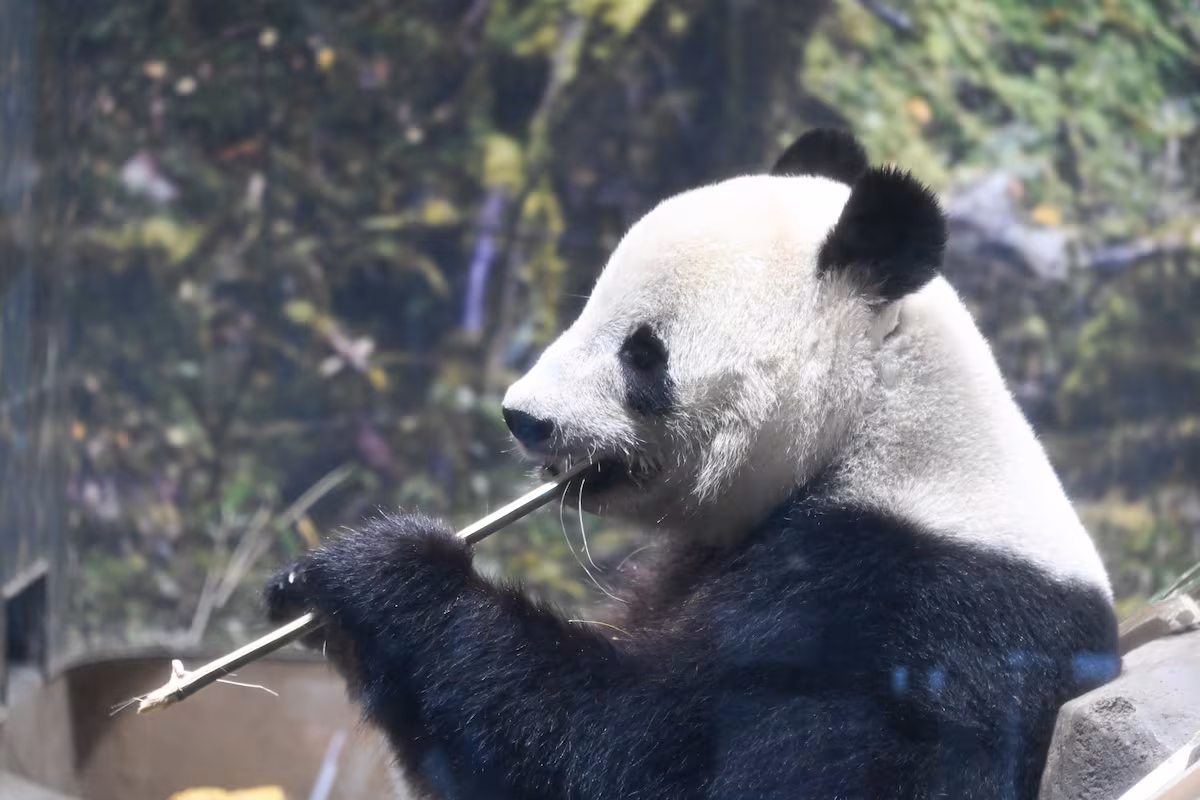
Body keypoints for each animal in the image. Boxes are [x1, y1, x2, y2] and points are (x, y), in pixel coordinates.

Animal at [265, 129, 1120, 800]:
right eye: (587, 307)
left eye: (643, 353)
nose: (523, 417)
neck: (880, 429)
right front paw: (303, 589)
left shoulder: (910, 617)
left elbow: (657, 759)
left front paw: (383, 568)